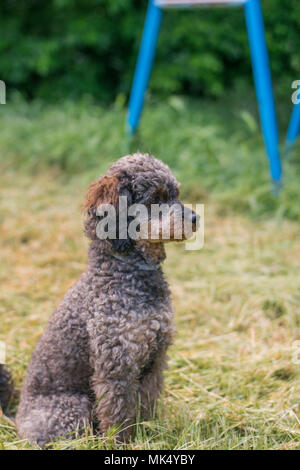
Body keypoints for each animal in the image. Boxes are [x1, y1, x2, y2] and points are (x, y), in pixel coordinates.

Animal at [5, 152, 199, 446]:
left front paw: (148, 432)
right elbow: (118, 414)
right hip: (72, 409)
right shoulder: (116, 367)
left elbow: (147, 404)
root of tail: (17, 419)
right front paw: (120, 442)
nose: (196, 218)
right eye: (155, 198)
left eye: (176, 194)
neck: (127, 273)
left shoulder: (154, 360)